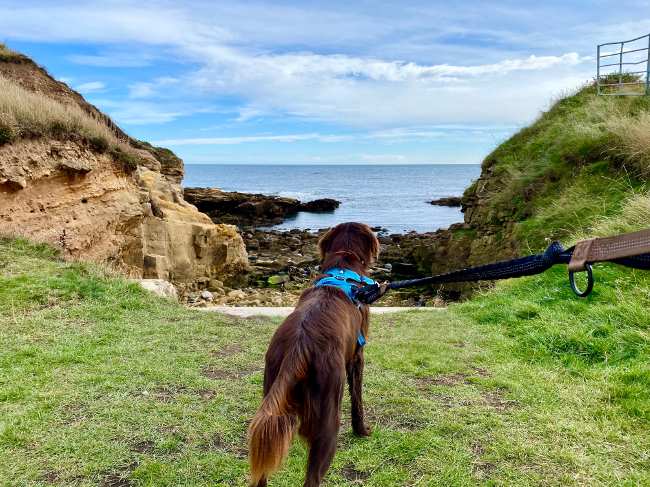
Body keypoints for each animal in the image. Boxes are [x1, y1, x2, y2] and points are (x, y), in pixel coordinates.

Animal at [248, 223, 380, 486]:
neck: (343, 264)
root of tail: (300, 347)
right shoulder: (357, 356)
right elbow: (357, 400)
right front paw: (362, 431)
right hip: (328, 421)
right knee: (313, 478)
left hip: (271, 392)